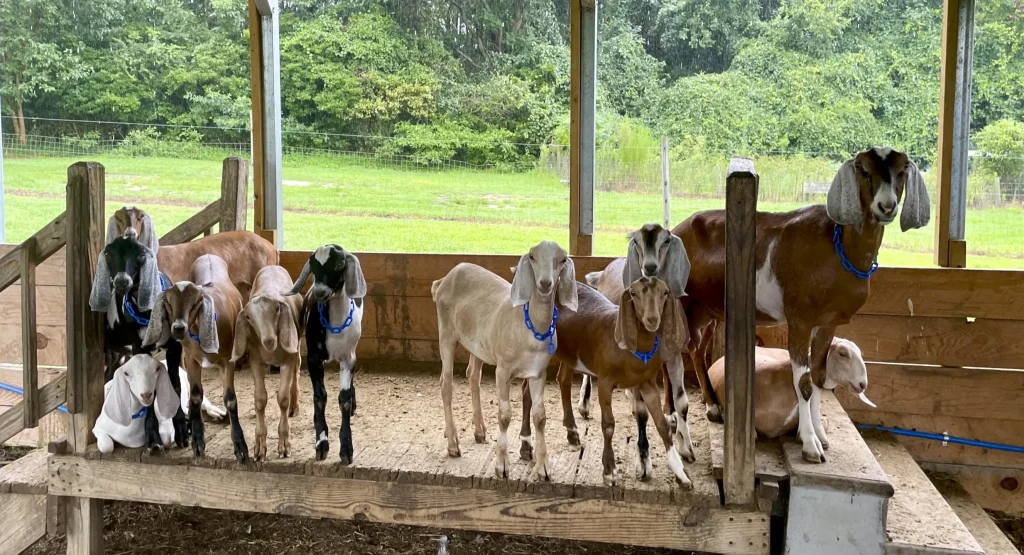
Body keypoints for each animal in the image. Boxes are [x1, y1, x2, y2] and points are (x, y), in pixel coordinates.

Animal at [144, 254, 247, 461]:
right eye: (168, 302)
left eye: (196, 303)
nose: (178, 328)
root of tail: (208, 255)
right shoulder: (191, 359)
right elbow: (195, 396)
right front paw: (198, 441)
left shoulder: (227, 360)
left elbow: (230, 399)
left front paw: (240, 446)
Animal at [232, 266, 304, 460]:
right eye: (249, 317)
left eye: (277, 309)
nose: (269, 340)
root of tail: (272, 265)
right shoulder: (256, 360)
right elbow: (260, 399)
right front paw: (259, 447)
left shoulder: (288, 357)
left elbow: (283, 398)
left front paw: (284, 445)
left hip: (296, 341)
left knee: (297, 369)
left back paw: (295, 405)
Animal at [286, 245, 367, 463]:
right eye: (313, 265)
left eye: (339, 264)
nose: (320, 291)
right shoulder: (314, 358)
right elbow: (320, 397)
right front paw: (321, 443)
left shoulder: (349, 358)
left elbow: (344, 399)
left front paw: (346, 448)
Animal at [433, 241, 578, 481]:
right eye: (532, 256)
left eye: (563, 259)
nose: (545, 283)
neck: (527, 326)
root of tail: (444, 279)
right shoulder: (503, 370)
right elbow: (504, 415)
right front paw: (501, 465)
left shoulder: (539, 372)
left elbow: (540, 417)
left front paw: (543, 468)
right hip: (446, 333)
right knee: (446, 385)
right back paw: (453, 443)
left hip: (477, 344)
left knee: (473, 375)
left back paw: (479, 430)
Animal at [519, 277, 692, 487]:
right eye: (633, 293)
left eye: (665, 292)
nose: (652, 319)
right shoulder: (605, 381)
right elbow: (608, 425)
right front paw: (609, 470)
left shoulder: (648, 384)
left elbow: (662, 425)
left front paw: (681, 473)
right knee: (527, 391)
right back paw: (525, 445)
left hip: (569, 352)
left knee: (563, 379)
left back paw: (572, 432)